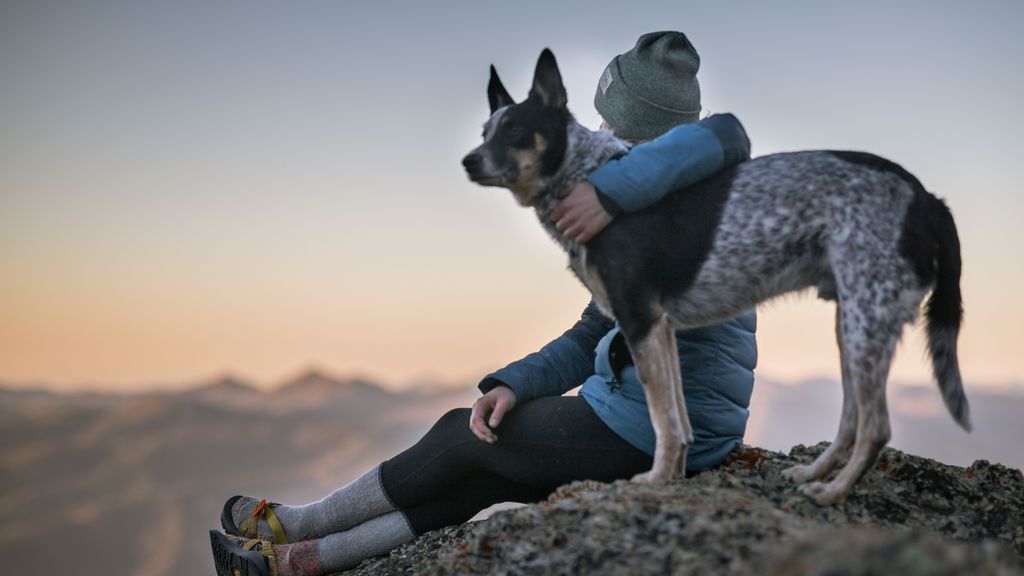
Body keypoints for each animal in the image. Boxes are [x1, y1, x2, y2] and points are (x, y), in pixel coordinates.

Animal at [460, 49, 970, 502]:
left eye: (515, 130)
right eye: (485, 131)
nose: (468, 161)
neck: (582, 175)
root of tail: (928, 199)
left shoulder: (639, 320)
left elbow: (662, 419)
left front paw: (653, 482)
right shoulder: (660, 329)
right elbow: (678, 420)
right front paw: (672, 477)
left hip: (866, 325)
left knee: (876, 427)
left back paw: (833, 493)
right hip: (854, 327)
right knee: (849, 419)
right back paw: (811, 474)